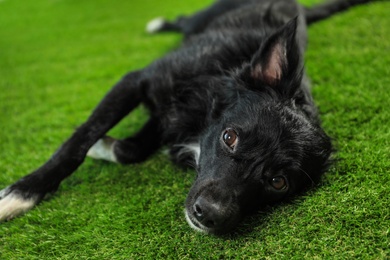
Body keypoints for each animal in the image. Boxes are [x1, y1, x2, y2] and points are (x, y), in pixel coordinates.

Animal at [0, 0, 374, 235]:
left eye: (278, 182)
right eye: (229, 137)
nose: (210, 215)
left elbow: (131, 150)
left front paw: (104, 147)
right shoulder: (136, 80)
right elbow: (78, 142)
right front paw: (21, 195)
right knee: (184, 19)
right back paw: (160, 24)